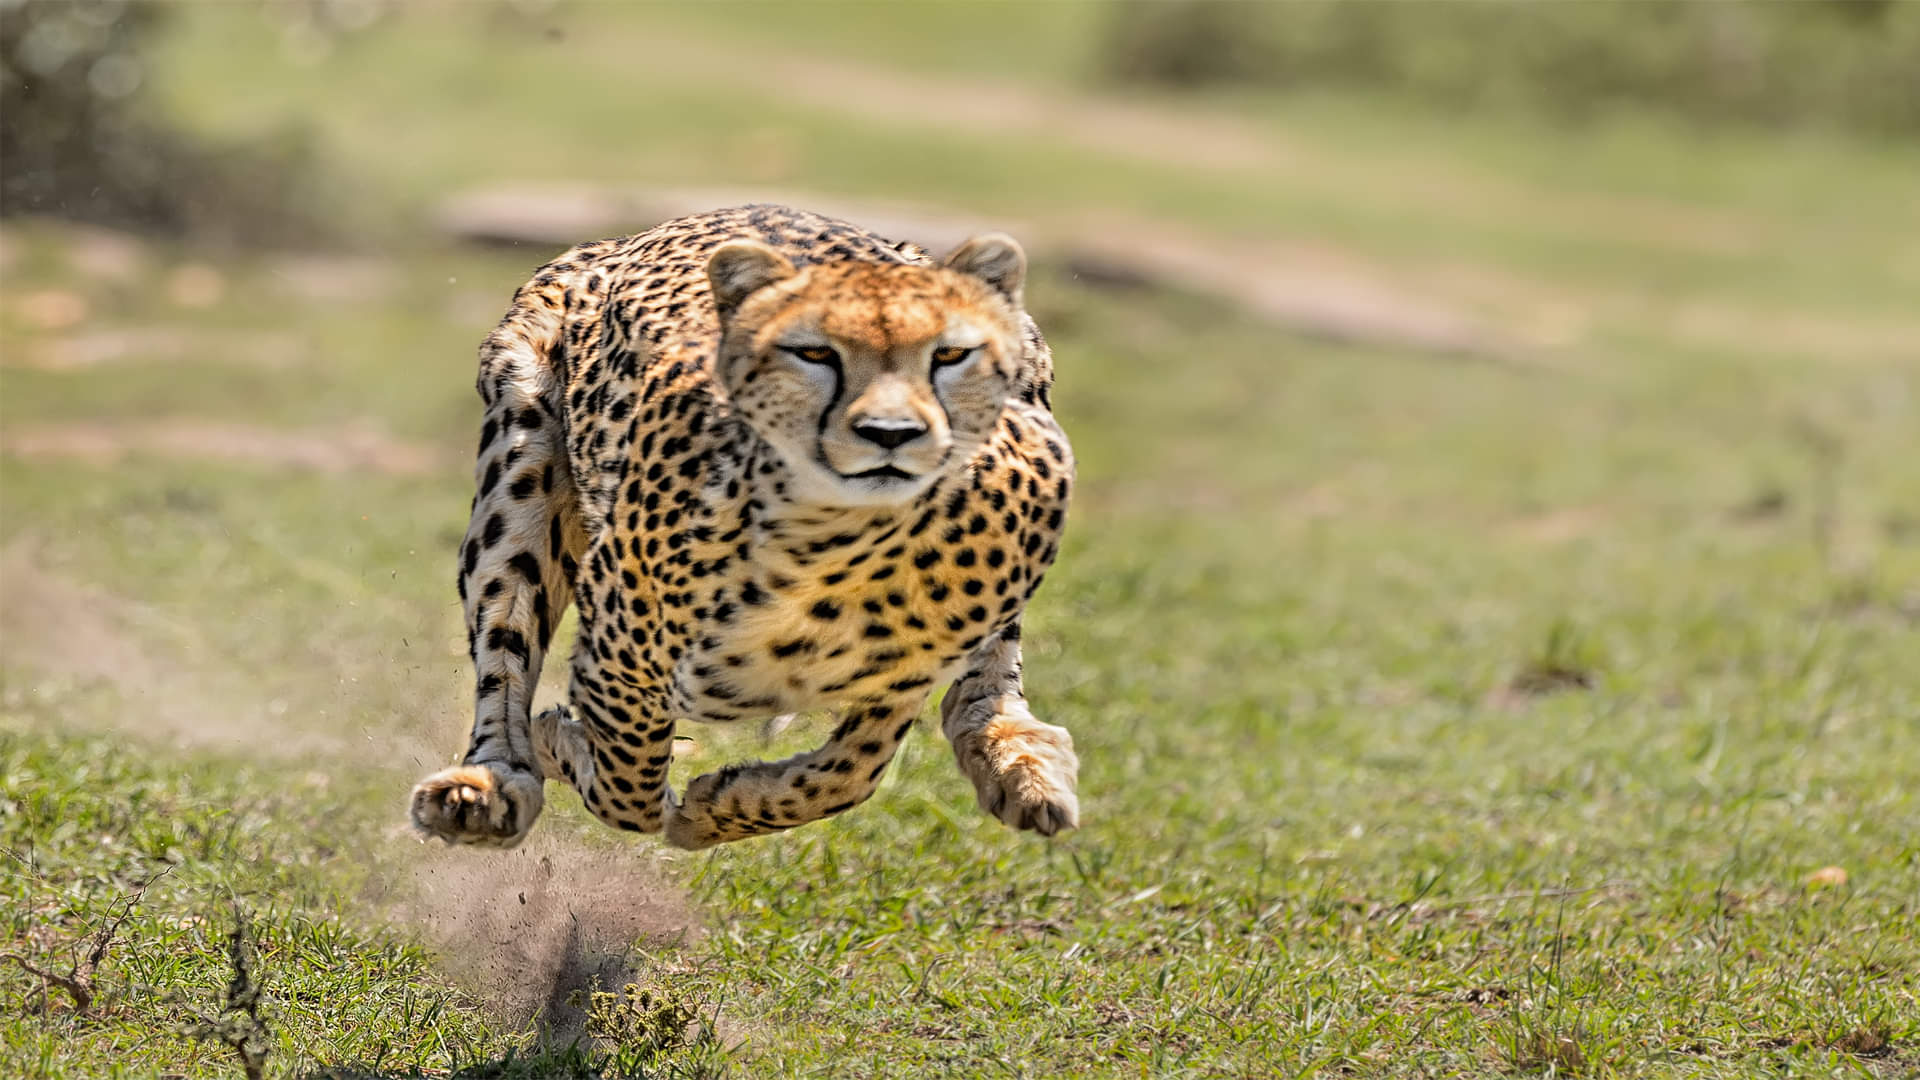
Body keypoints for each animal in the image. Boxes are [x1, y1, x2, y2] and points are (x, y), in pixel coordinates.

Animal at [408, 204, 1079, 851]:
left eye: (949, 355)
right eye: (814, 353)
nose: (891, 434)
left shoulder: (907, 669)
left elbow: (852, 771)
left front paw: (721, 806)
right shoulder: (621, 655)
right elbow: (628, 783)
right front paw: (566, 747)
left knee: (986, 676)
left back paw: (1018, 759)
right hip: (521, 465)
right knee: (505, 647)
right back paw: (488, 784)